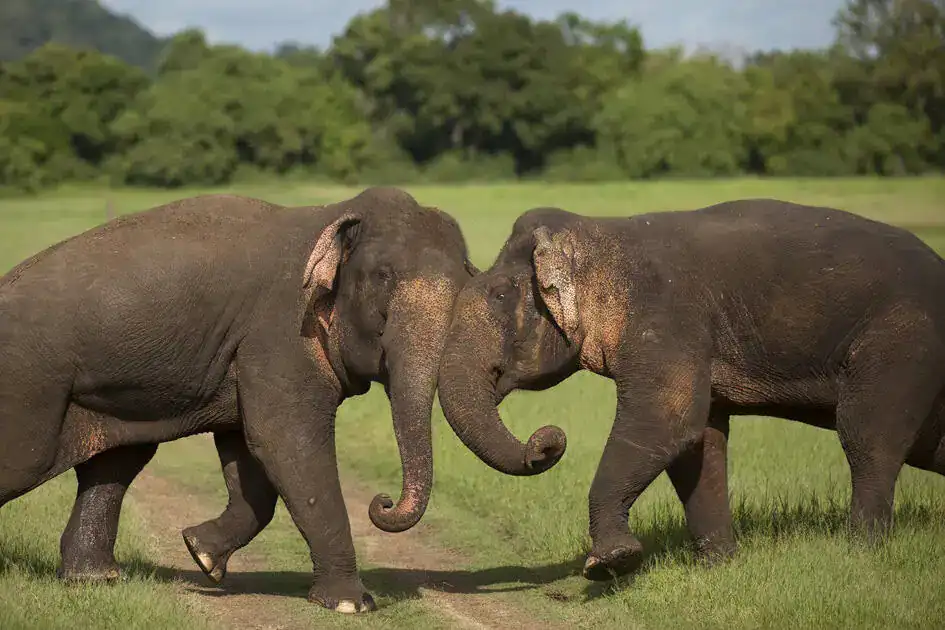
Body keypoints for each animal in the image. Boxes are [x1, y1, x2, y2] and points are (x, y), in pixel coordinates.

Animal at [0, 186, 477, 614]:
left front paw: (200, 553)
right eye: (383, 276)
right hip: (29, 379)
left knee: (116, 463)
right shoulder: (280, 333)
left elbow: (248, 452)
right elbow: (286, 444)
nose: (383, 502)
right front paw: (352, 605)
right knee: (26, 462)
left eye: (466, 282)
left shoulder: (247, 350)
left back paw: (94, 579)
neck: (331, 215)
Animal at [436, 198, 945, 583]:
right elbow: (699, 444)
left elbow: (666, 425)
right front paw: (721, 565)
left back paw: (861, 551)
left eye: (501, 295)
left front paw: (610, 564)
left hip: (902, 342)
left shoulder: (667, 322)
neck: (602, 234)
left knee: (866, 435)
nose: (548, 441)